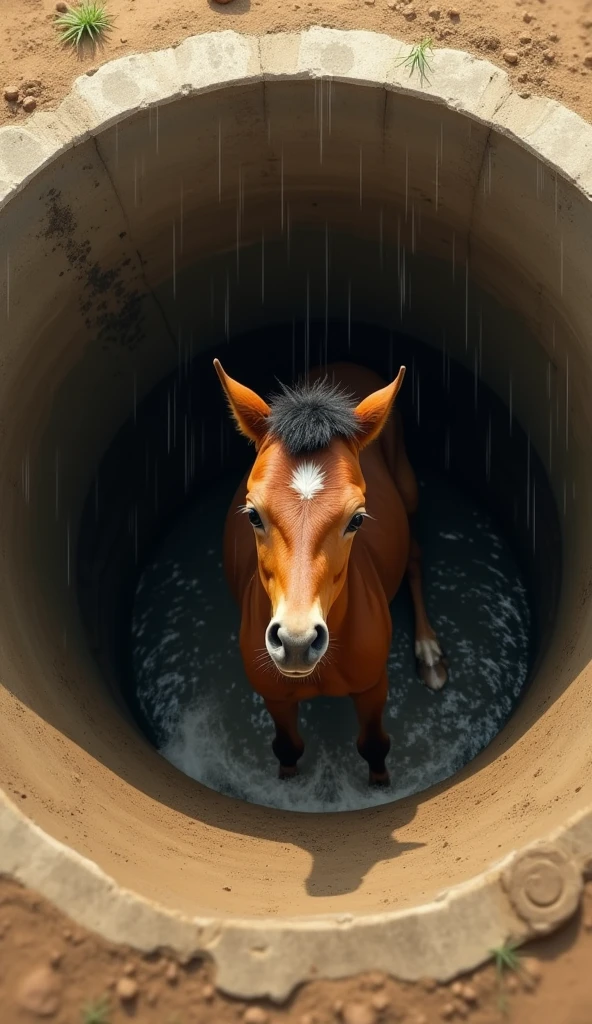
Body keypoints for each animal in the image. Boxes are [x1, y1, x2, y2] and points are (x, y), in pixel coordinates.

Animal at [214, 359, 447, 785]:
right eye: (253, 514)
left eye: (356, 519)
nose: (296, 641)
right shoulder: (274, 696)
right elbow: (287, 748)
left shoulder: (373, 686)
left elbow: (374, 746)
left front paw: (379, 786)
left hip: (408, 488)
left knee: (415, 557)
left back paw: (429, 654)